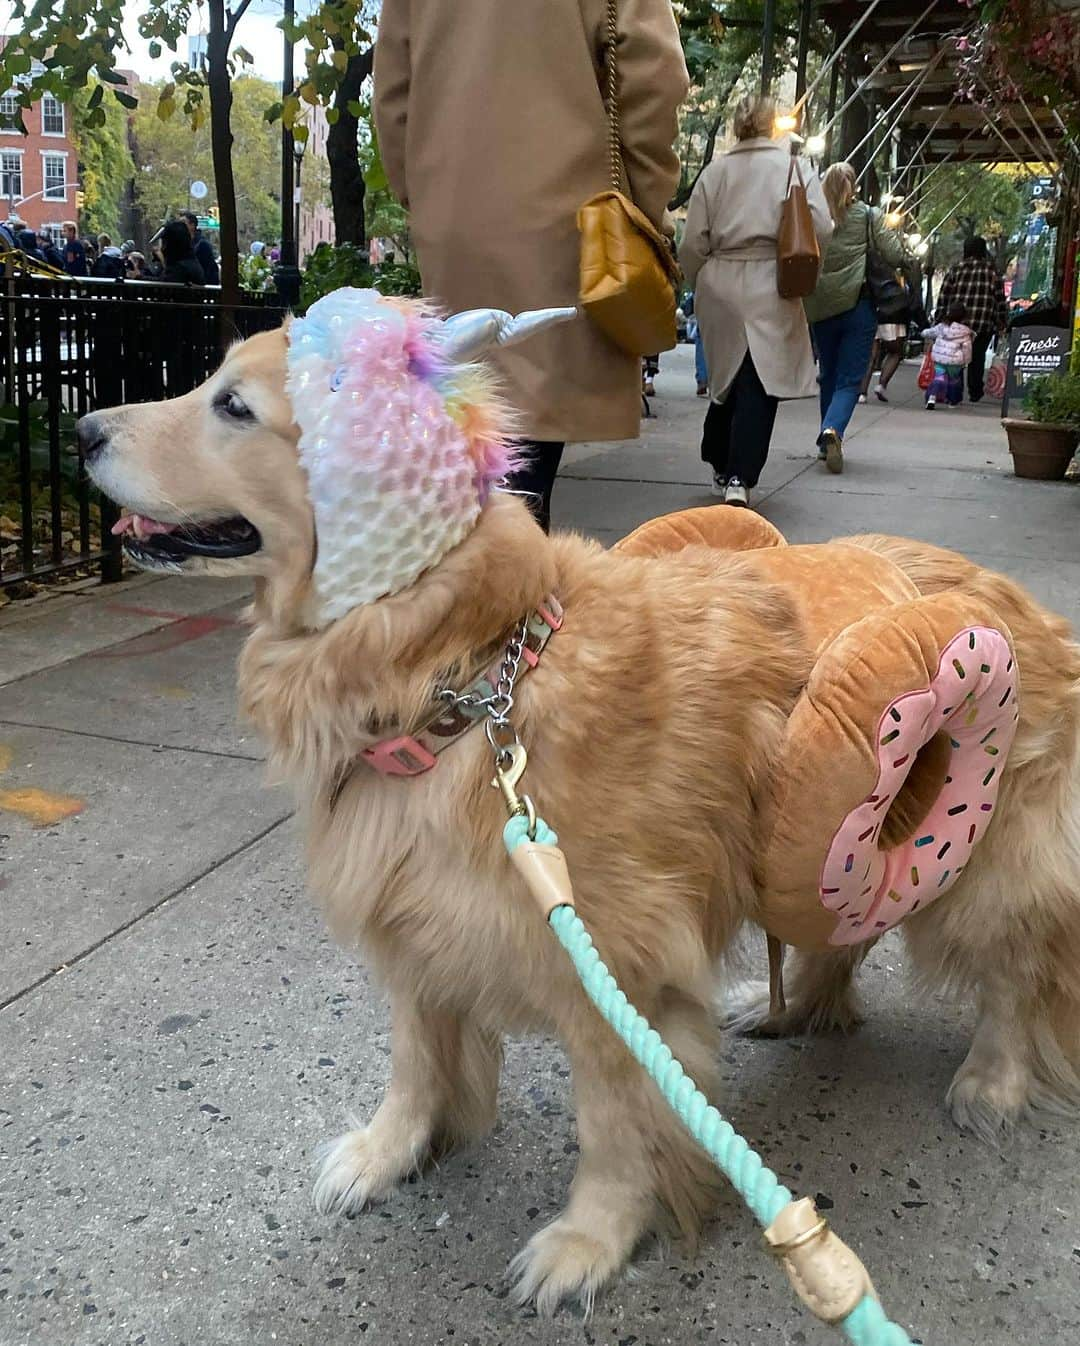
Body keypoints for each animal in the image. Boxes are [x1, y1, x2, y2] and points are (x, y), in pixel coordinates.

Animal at [80, 309, 1077, 1308]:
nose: (84, 430)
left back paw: (992, 1082)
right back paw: (793, 1011)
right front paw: (388, 1152)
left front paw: (591, 1240)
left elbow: (614, 1125)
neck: (470, 681)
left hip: (982, 862)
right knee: (842, 933)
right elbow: (415, 1057)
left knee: (1017, 974)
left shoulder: (619, 975)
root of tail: (1010, 593)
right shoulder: (417, 925)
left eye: (234, 407)